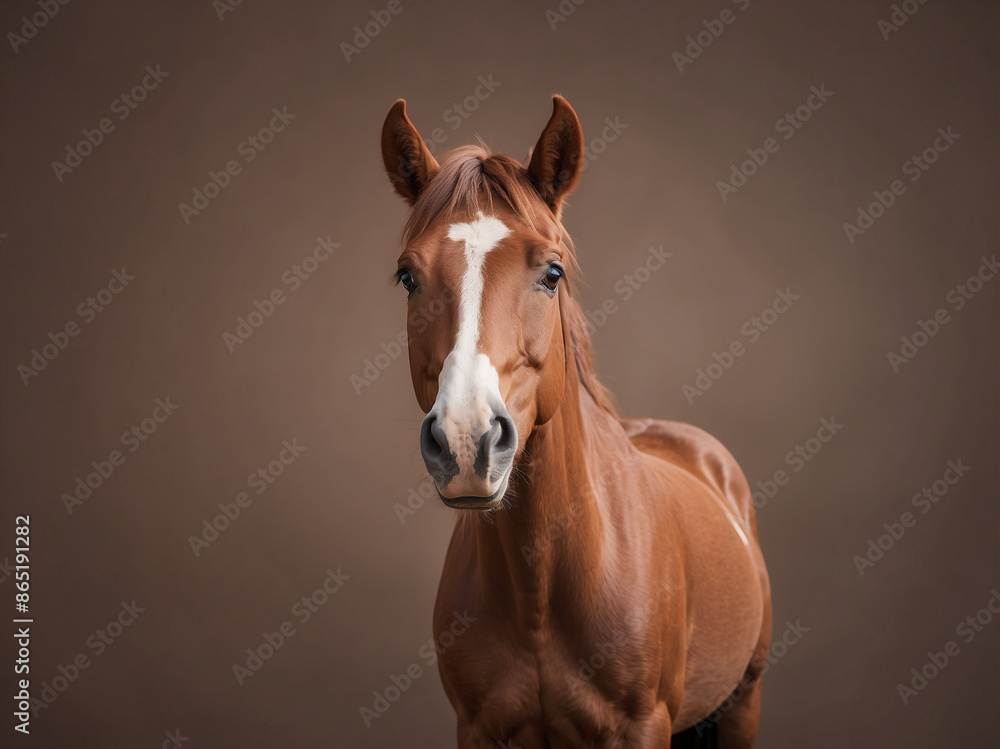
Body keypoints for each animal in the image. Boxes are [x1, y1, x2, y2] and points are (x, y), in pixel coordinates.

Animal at [380, 95, 772, 749]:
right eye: (408, 278)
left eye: (552, 273)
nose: (466, 440)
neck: (542, 591)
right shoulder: (476, 729)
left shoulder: (642, 727)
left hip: (743, 703)